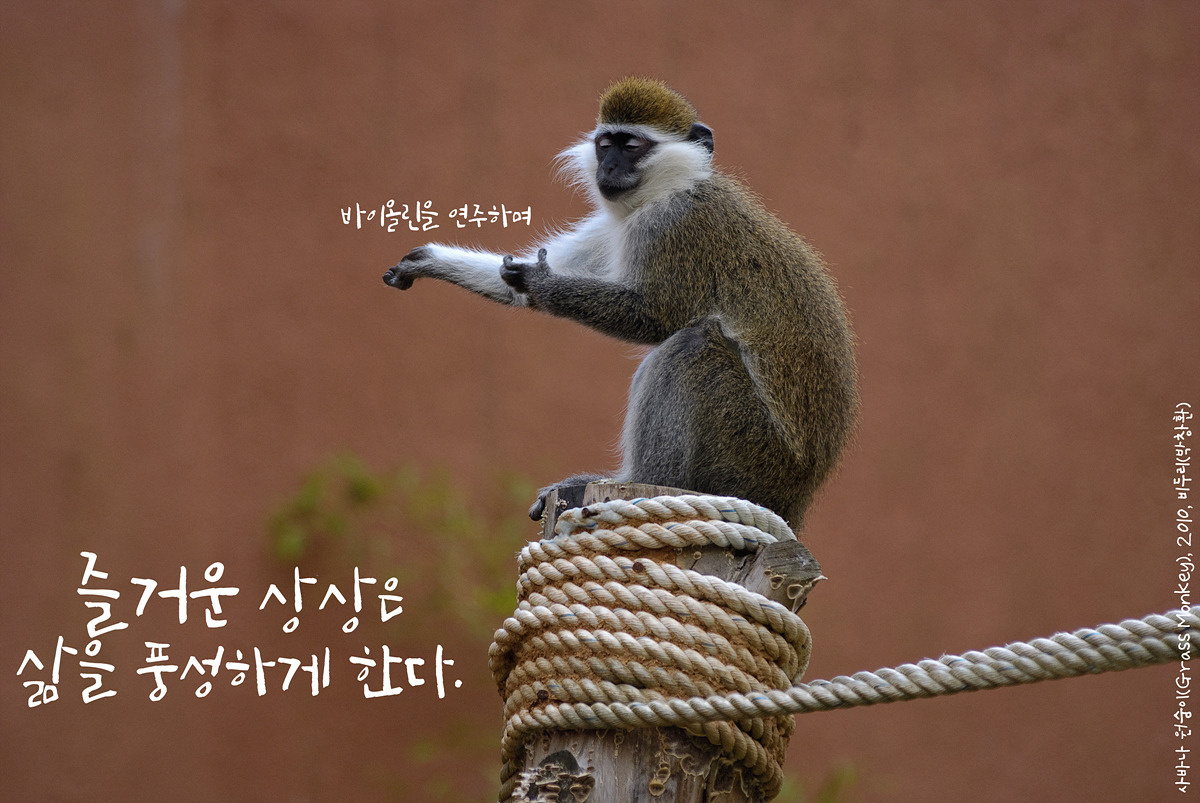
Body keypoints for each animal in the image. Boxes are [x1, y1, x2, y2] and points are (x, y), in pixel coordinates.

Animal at [383, 77, 858, 530]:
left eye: (631, 146)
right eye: (605, 145)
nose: (608, 167)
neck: (668, 189)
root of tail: (796, 497)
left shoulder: (672, 226)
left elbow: (653, 318)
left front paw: (542, 283)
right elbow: (510, 284)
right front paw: (429, 260)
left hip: (749, 455)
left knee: (694, 347)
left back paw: (648, 480)